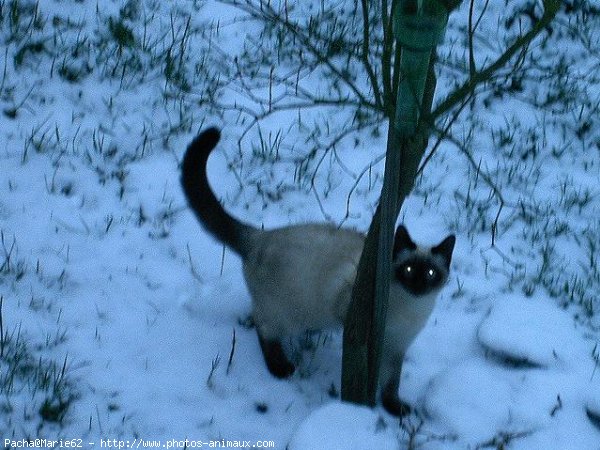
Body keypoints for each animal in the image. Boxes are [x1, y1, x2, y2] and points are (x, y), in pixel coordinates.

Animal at [179, 126, 454, 414]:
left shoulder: (397, 348)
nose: (419, 285)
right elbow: (372, 367)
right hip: (286, 314)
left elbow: (391, 384)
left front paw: (395, 409)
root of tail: (259, 236)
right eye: (409, 269)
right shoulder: (358, 322)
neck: (411, 310)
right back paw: (281, 369)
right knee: (263, 329)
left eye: (431, 274)